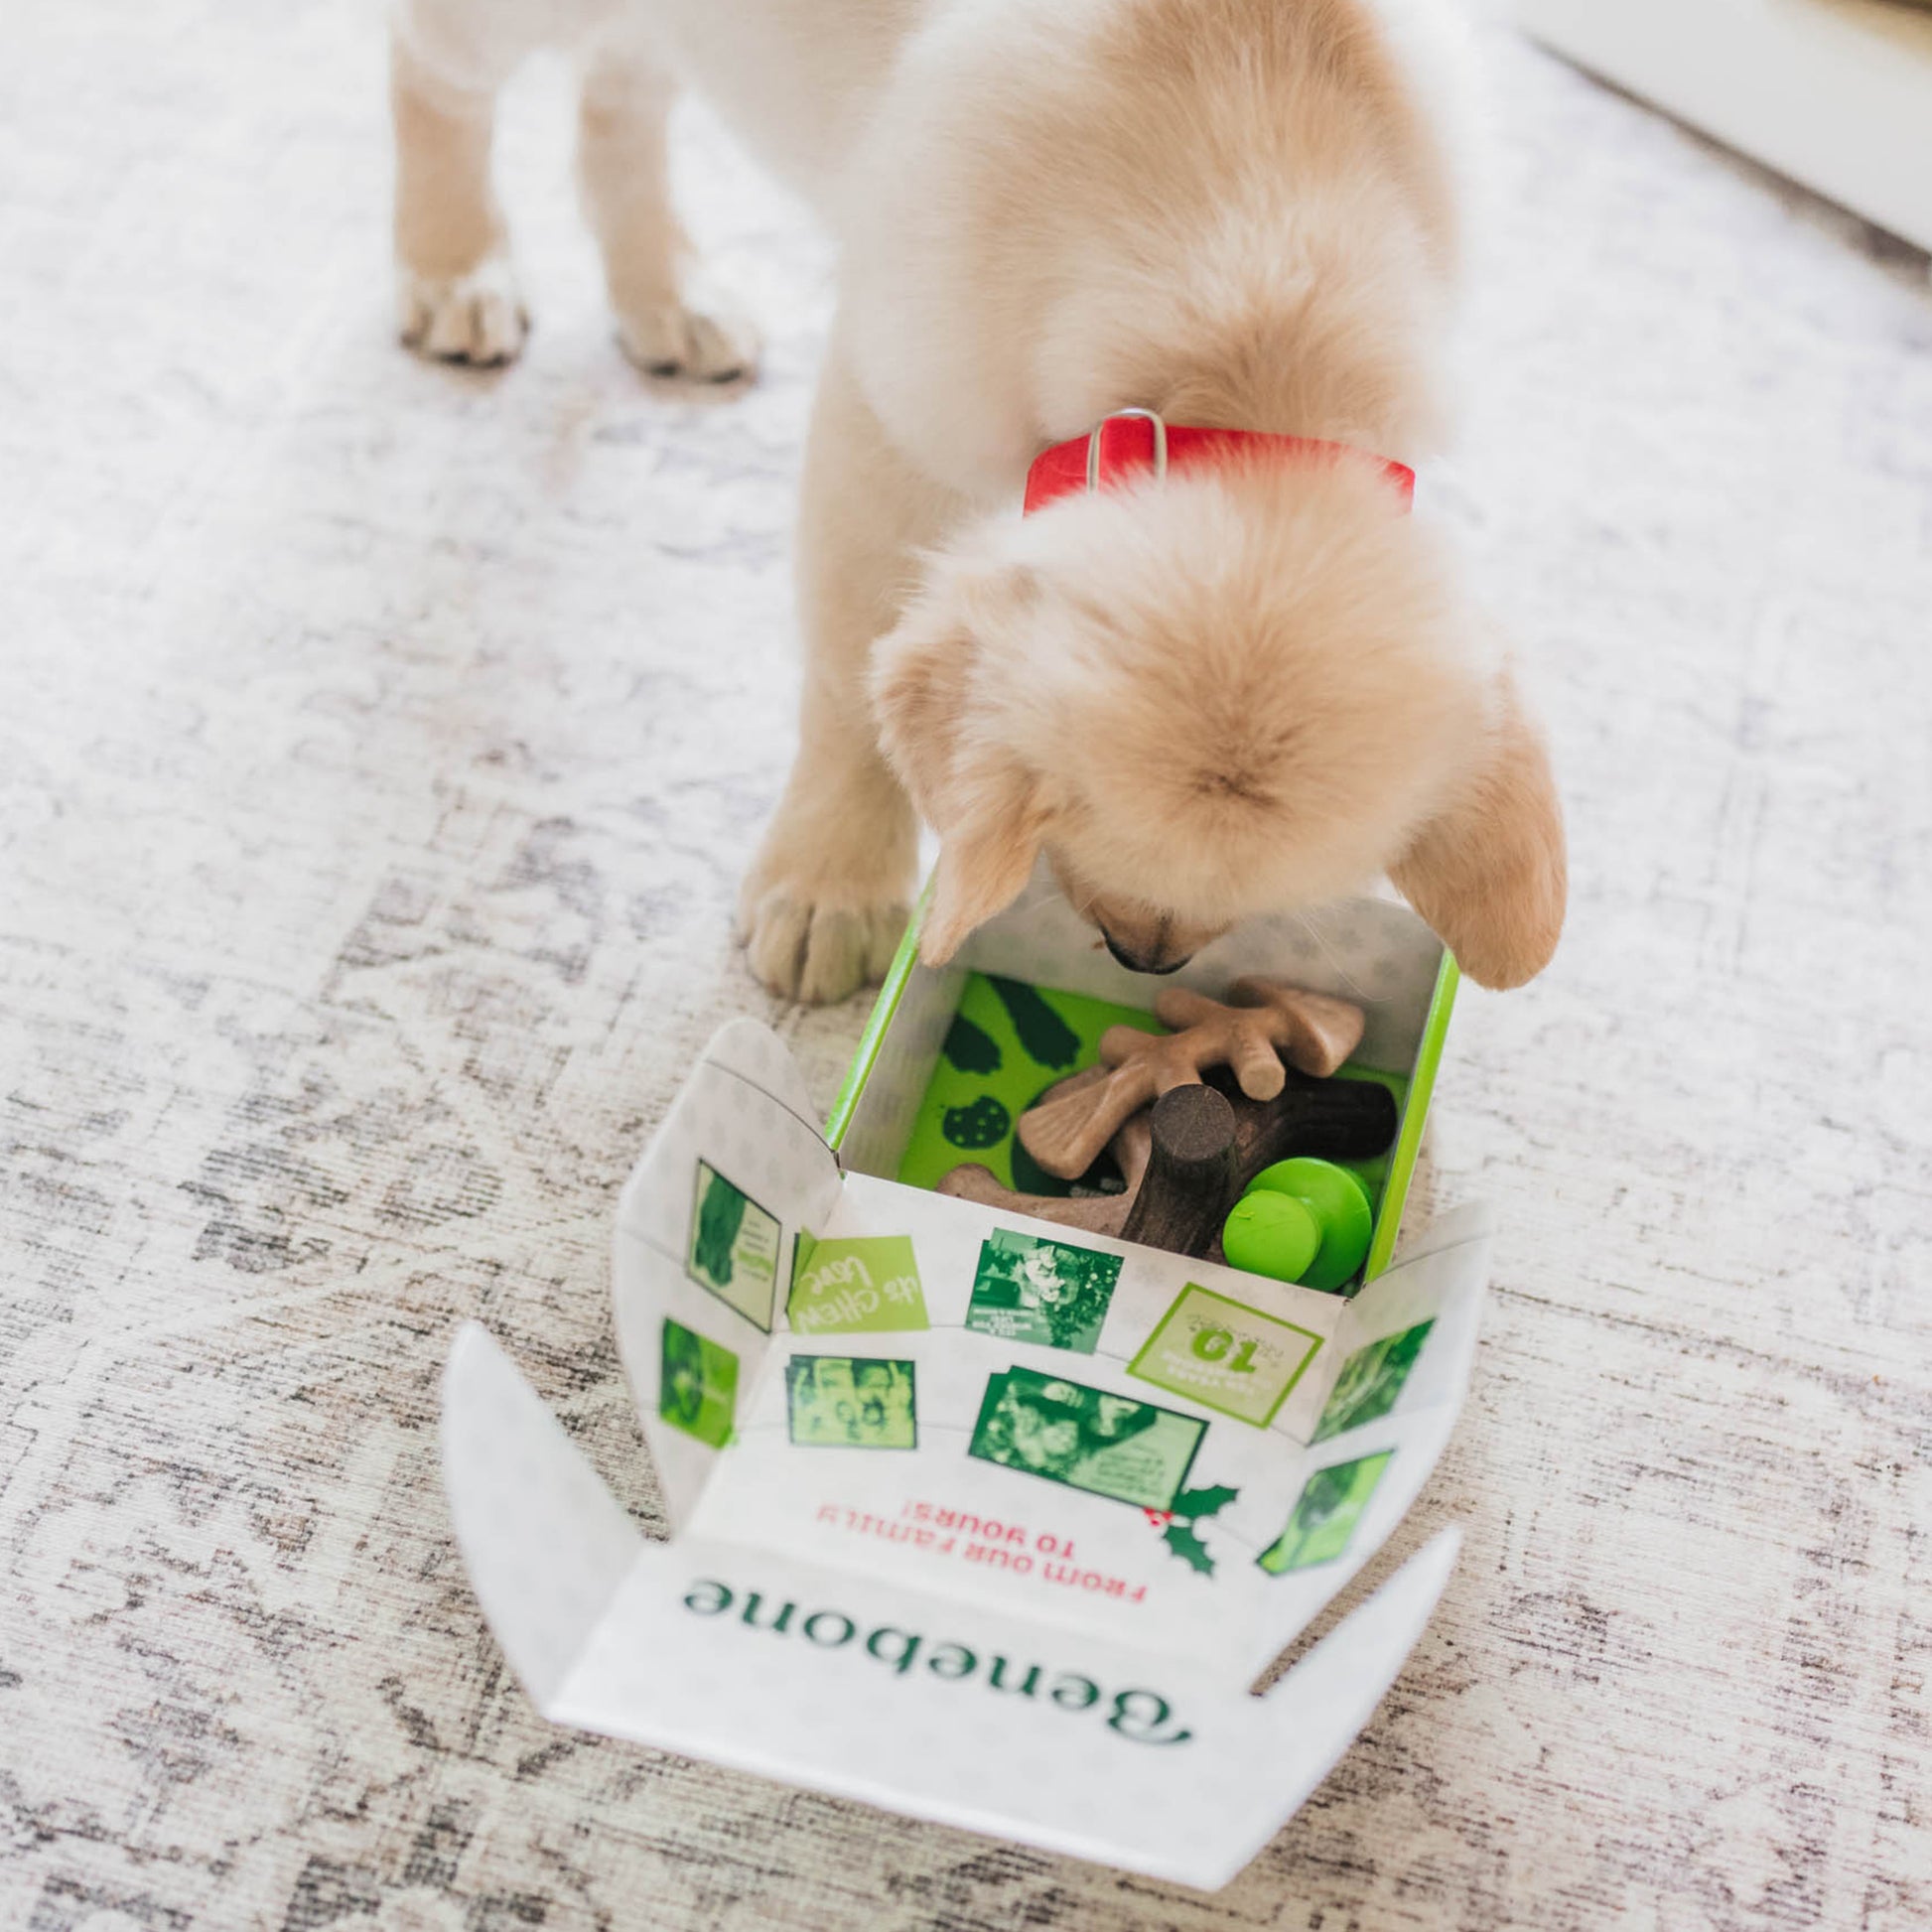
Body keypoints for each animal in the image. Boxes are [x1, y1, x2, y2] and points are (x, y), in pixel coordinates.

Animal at [395, 0, 1569, 1004]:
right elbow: (850, 679)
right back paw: (454, 265)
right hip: (497, 23)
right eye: (1072, 819)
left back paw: (664, 293)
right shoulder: (884, 424)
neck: (1255, 308)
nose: (1146, 958)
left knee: (623, 89)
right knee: (431, 68)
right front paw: (831, 879)